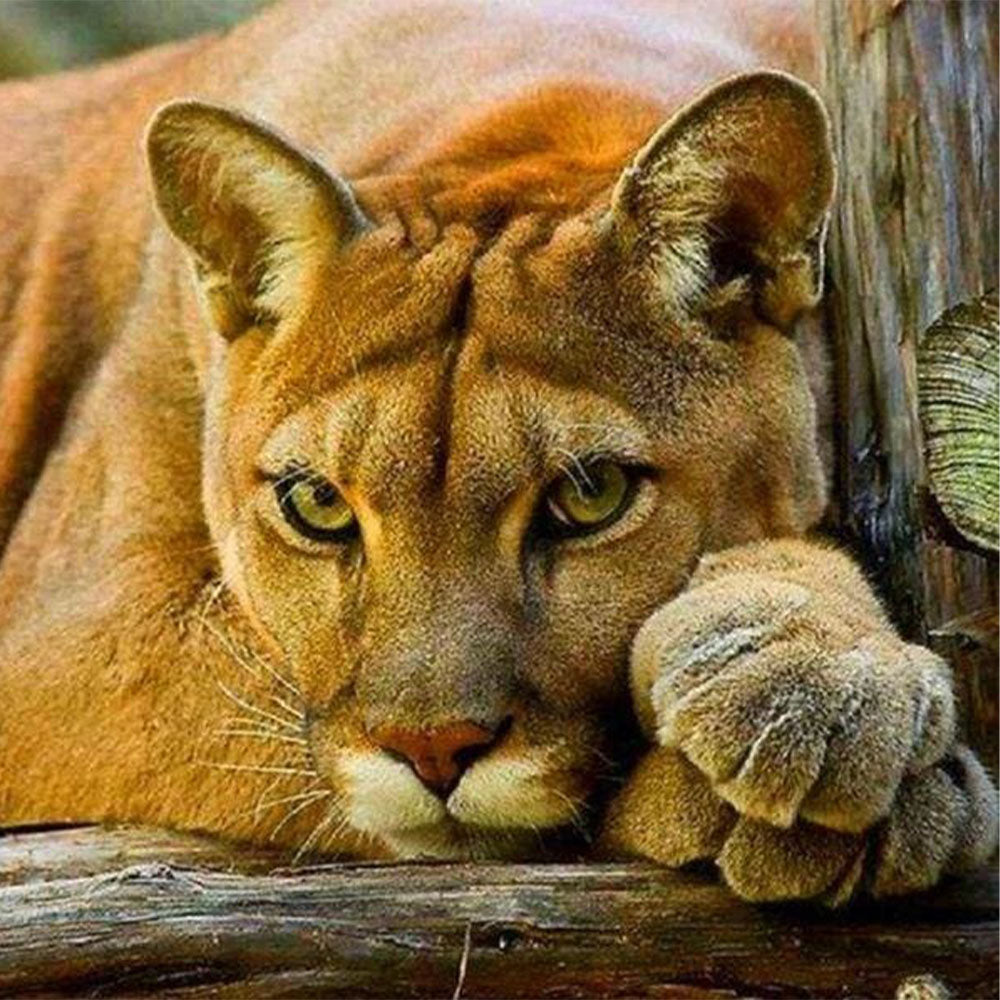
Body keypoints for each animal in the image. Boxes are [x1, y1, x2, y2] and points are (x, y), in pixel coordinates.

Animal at [0, 0, 995, 904]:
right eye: (316, 504)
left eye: (590, 496)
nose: (433, 749)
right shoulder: (76, 637)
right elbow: (271, 720)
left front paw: (811, 662)